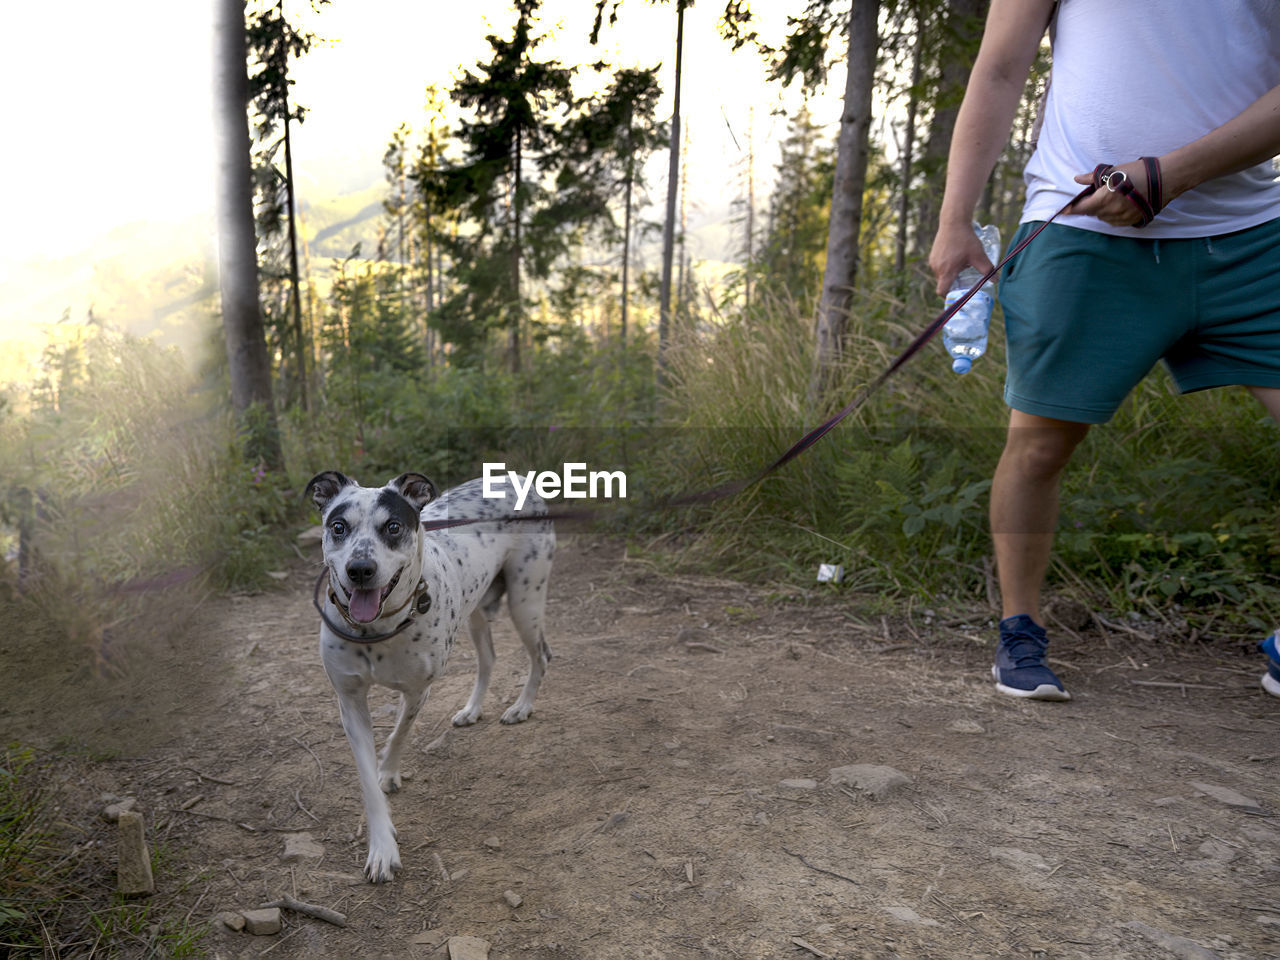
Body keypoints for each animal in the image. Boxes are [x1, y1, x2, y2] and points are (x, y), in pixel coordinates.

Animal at [308, 471, 555, 885]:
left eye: (393, 527)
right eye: (338, 527)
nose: (360, 569)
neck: (377, 631)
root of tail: (517, 477)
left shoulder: (418, 691)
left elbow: (399, 734)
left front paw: (389, 771)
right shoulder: (350, 702)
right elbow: (367, 782)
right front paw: (382, 847)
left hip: (526, 602)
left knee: (541, 655)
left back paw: (521, 707)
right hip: (476, 610)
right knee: (489, 658)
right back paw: (472, 710)